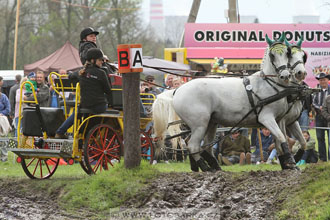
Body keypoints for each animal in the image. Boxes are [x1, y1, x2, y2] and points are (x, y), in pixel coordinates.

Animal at [155, 33, 300, 172]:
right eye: (272, 55)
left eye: (287, 53)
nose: (285, 75)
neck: (269, 85)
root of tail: (177, 90)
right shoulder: (267, 118)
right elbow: (281, 138)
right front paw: (291, 162)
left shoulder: (279, 120)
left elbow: (279, 142)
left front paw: (288, 165)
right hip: (199, 124)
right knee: (193, 146)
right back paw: (206, 168)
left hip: (210, 124)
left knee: (202, 146)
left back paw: (210, 167)